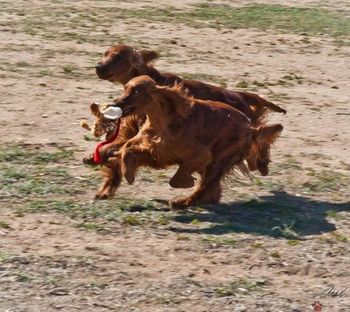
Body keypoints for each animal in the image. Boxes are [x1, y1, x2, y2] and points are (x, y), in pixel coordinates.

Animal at [103, 75, 282, 207]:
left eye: (136, 91)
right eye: (125, 88)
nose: (115, 103)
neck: (162, 121)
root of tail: (251, 129)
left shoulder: (200, 155)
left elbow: (177, 178)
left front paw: (187, 182)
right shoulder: (152, 148)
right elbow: (127, 149)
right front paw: (127, 172)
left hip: (218, 160)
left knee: (205, 186)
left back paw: (183, 202)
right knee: (211, 189)